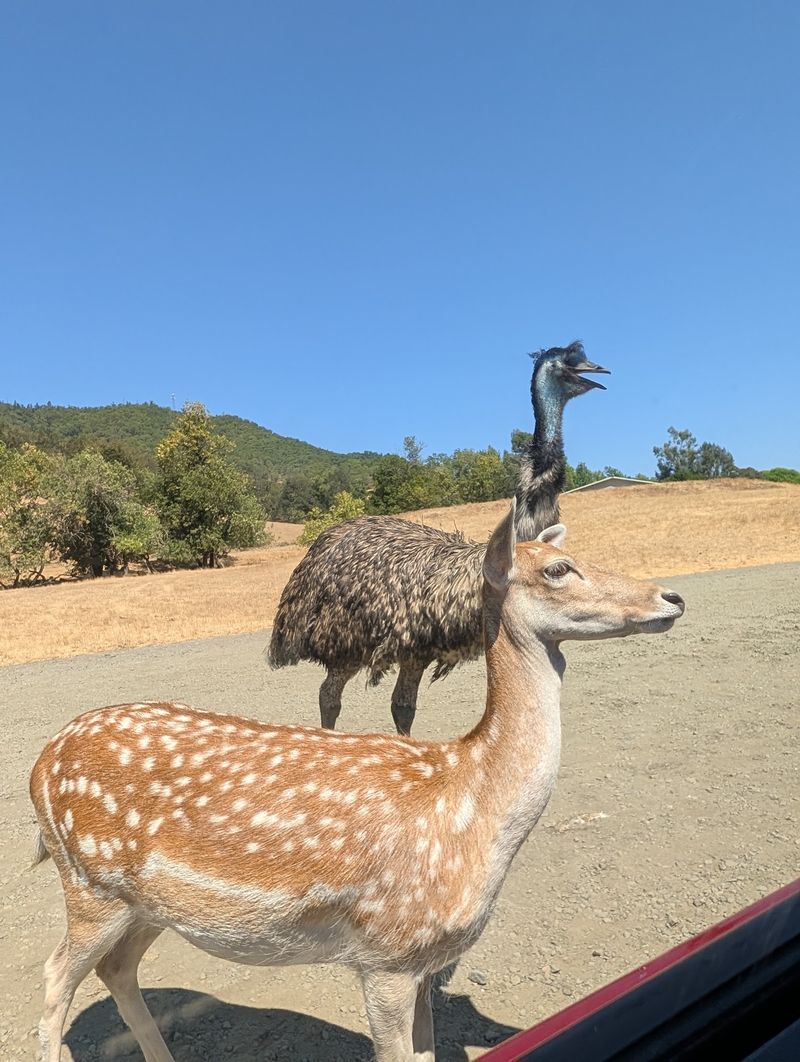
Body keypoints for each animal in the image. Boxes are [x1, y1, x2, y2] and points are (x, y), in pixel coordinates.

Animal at [29, 500, 685, 1062]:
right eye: (558, 569)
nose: (672, 595)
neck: (472, 801)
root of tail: (41, 766)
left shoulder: (423, 962)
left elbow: (426, 1052)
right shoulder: (386, 955)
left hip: (147, 906)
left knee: (116, 970)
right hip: (91, 884)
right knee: (56, 977)